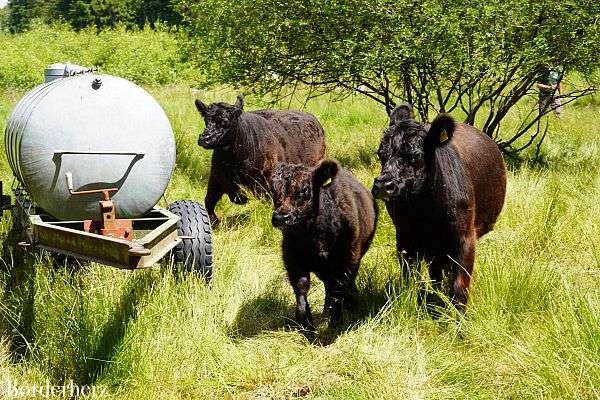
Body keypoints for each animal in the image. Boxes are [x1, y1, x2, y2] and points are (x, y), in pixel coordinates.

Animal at [195, 95, 326, 223]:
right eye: (206, 120)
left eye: (224, 121)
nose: (205, 138)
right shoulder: (216, 178)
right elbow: (209, 202)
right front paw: (214, 222)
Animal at [270, 159, 378, 332]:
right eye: (273, 188)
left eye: (305, 189)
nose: (281, 217)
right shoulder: (291, 258)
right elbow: (301, 287)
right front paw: (305, 322)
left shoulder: (348, 260)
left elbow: (338, 289)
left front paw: (336, 321)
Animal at [370, 104, 506, 316]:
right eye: (381, 153)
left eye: (416, 156)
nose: (384, 185)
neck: (425, 211)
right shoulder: (405, 238)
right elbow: (411, 278)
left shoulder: (465, 238)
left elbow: (459, 286)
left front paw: (459, 322)